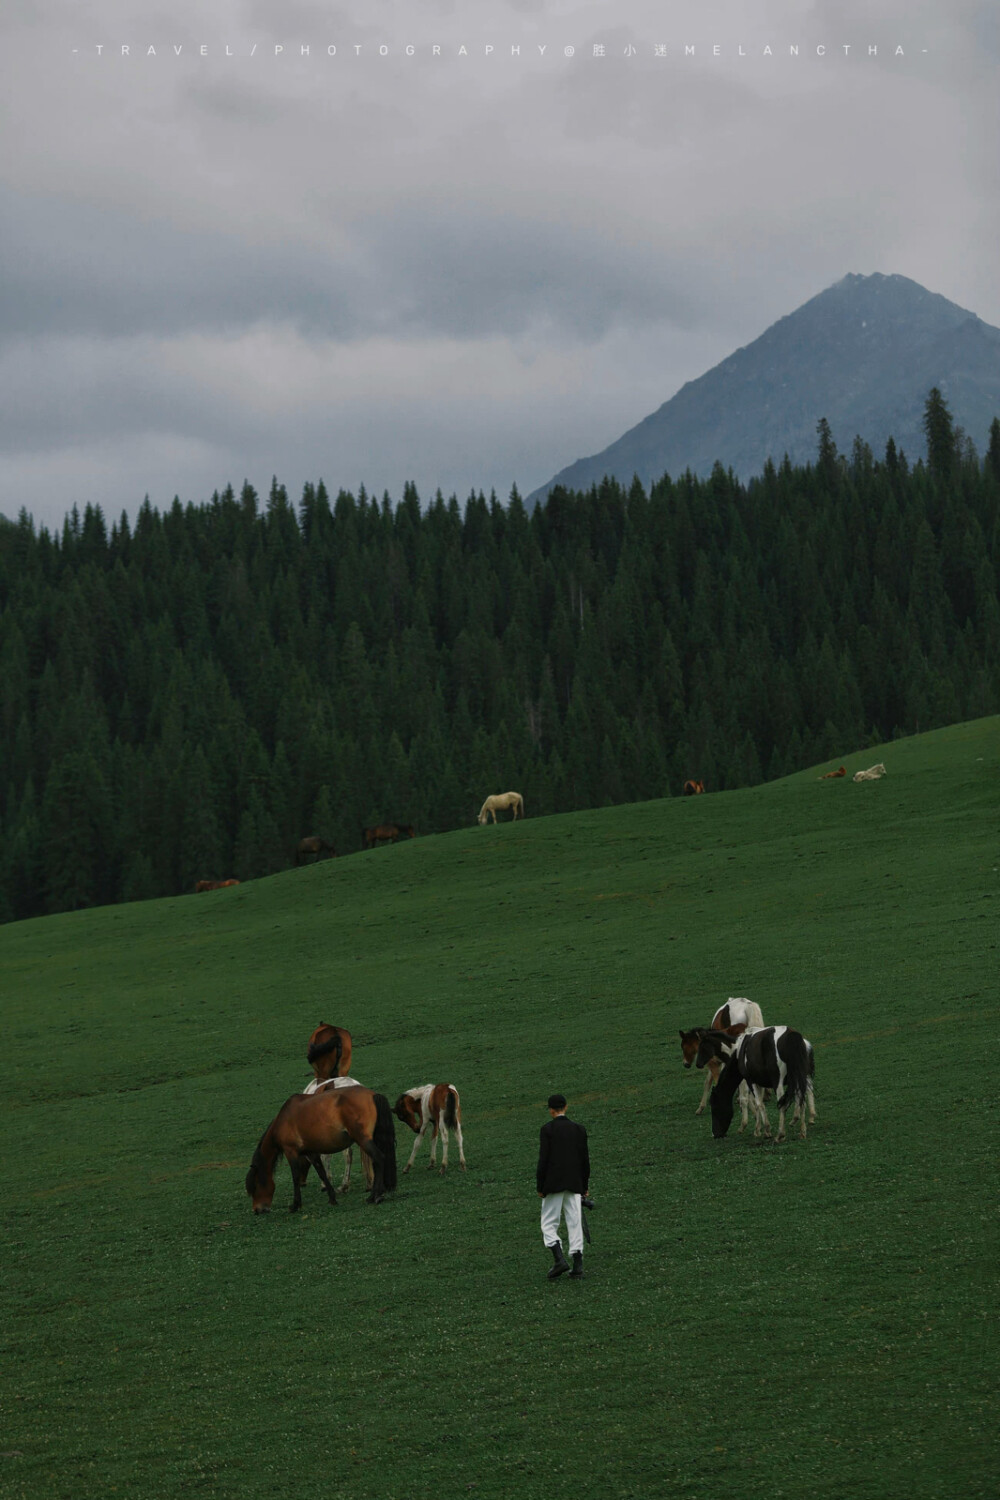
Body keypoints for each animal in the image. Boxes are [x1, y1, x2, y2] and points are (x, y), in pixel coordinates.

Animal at [245, 1086, 398, 1212]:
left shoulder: (291, 1152)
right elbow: (322, 1173)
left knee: (379, 1159)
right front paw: (332, 1198)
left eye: (255, 1187)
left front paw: (296, 1205)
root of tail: (373, 1094)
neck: (283, 1120)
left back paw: (374, 1196)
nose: (257, 1210)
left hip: (363, 1140)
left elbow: (295, 1177)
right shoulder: (311, 1153)